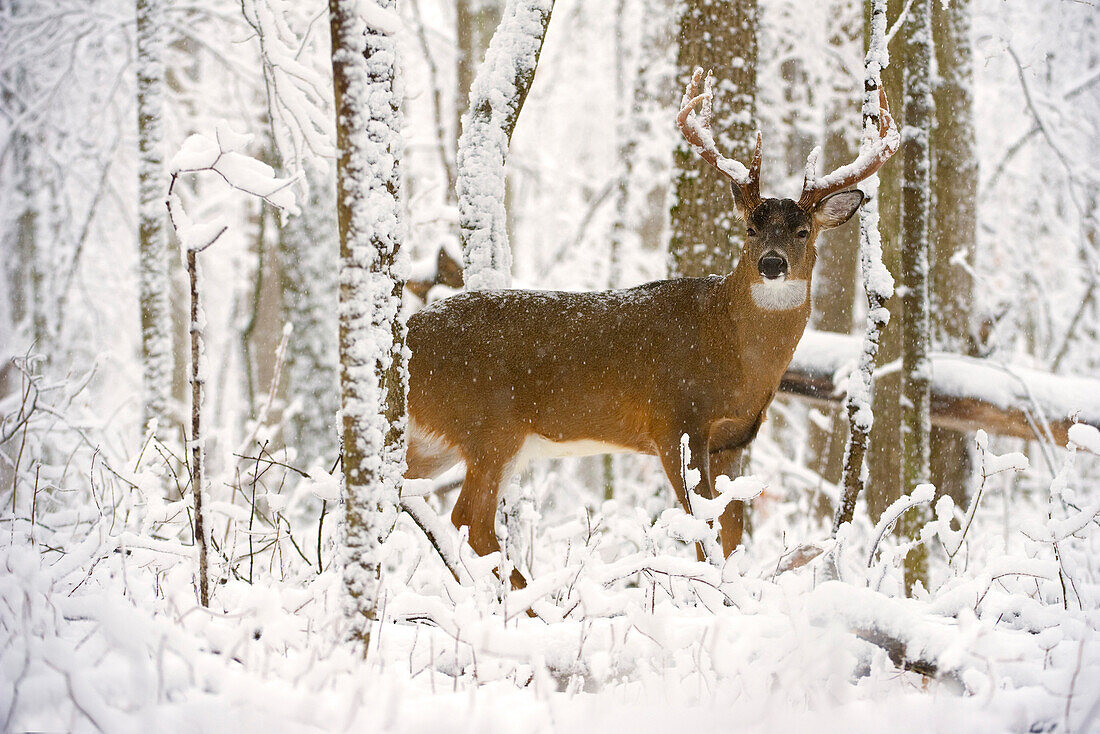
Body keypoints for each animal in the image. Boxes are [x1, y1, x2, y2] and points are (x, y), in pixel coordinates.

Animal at [400, 67, 897, 585]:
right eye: (750, 229)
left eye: (803, 230)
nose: (772, 264)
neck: (730, 349)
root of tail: (407, 331)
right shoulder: (675, 420)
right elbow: (703, 531)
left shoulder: (736, 439)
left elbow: (733, 536)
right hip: (489, 425)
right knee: (469, 518)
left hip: (435, 438)